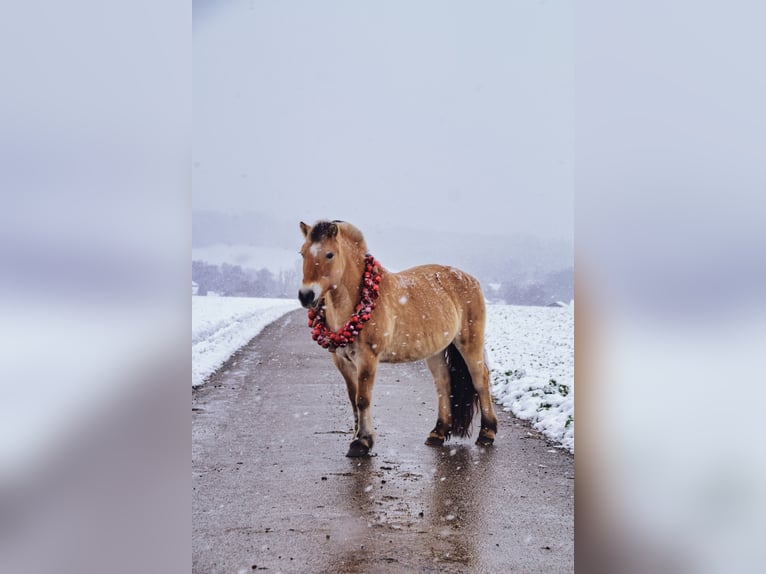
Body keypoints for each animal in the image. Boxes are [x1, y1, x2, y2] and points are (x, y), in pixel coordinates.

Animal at [296, 220, 500, 460]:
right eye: (302, 253)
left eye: (329, 254)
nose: (306, 295)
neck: (361, 298)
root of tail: (469, 279)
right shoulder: (342, 361)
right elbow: (353, 399)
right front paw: (356, 437)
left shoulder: (368, 358)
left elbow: (363, 399)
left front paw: (362, 442)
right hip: (436, 351)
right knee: (443, 383)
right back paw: (438, 433)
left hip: (470, 343)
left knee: (480, 380)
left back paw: (487, 433)